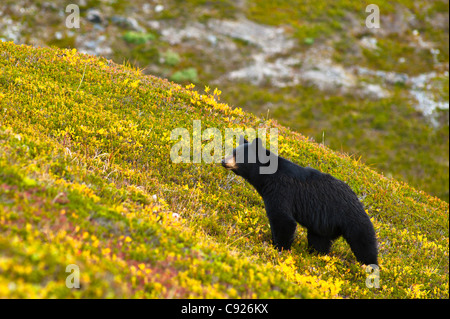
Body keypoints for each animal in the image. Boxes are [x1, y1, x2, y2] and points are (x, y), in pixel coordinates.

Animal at [223, 136, 378, 266]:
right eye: (233, 151)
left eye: (237, 155)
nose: (223, 161)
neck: (267, 177)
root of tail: (359, 201)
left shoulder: (281, 190)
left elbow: (283, 220)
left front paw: (280, 248)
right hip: (324, 225)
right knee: (319, 240)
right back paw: (316, 255)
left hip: (352, 219)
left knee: (364, 243)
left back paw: (369, 266)